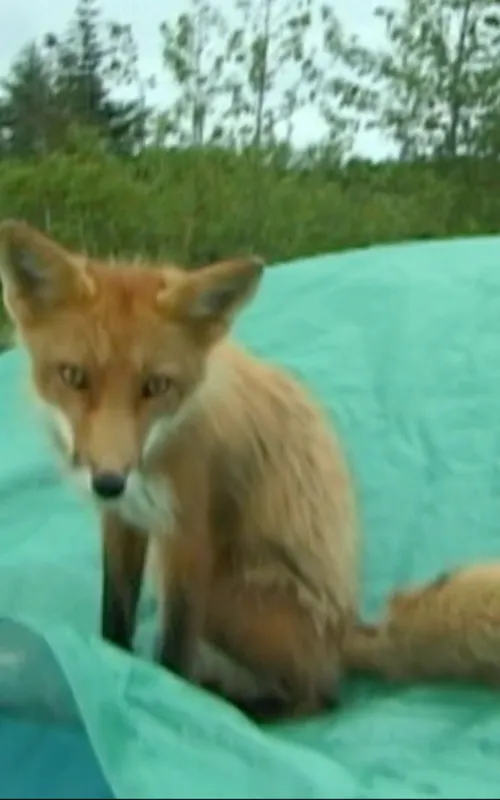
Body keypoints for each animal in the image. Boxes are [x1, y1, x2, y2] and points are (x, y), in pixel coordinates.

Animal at [0, 219, 358, 722]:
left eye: (156, 386)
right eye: (73, 376)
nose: (107, 481)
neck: (155, 455)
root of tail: (349, 637)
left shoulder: (189, 538)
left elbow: (174, 648)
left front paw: (171, 704)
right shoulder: (125, 520)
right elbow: (116, 615)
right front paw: (115, 670)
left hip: (227, 596)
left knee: (319, 696)